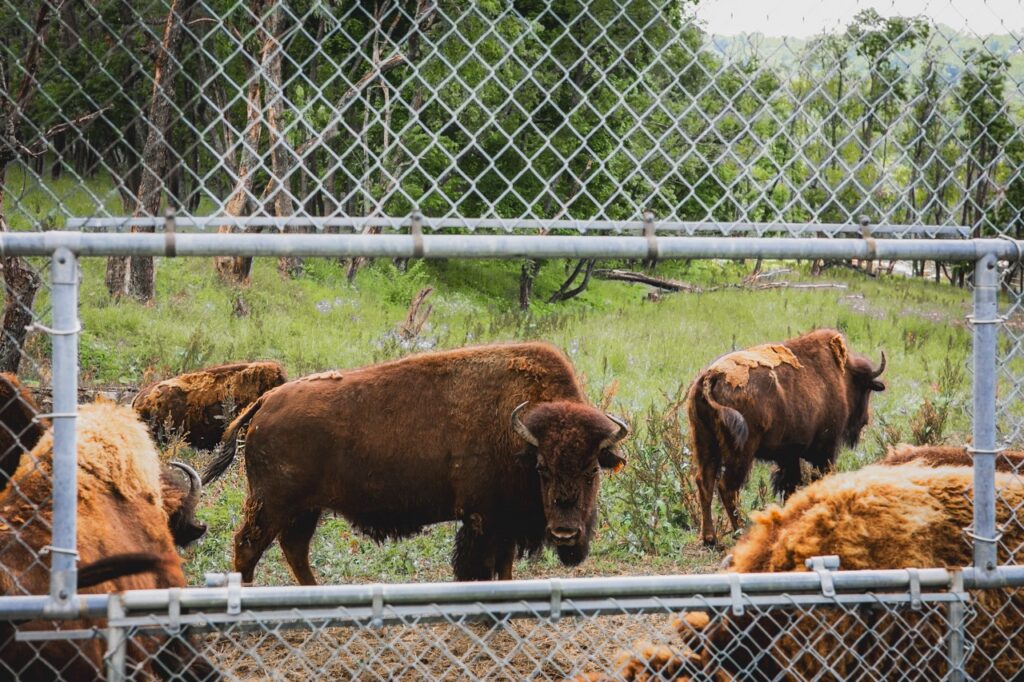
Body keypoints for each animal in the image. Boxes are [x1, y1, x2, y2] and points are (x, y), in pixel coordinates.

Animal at [202, 342, 629, 583]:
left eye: (592, 469)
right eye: (542, 468)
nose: (565, 533)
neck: (520, 434)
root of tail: (265, 401)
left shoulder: (503, 523)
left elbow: (503, 570)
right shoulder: (483, 520)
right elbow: (480, 569)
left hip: (305, 509)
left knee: (294, 550)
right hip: (272, 505)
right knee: (248, 547)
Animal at [687, 328, 886, 546]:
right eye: (865, 388)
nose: (865, 420)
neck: (841, 376)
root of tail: (712, 377)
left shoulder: (789, 455)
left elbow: (790, 485)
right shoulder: (825, 450)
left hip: (705, 444)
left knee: (705, 483)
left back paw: (710, 538)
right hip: (741, 451)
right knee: (727, 487)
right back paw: (740, 531)